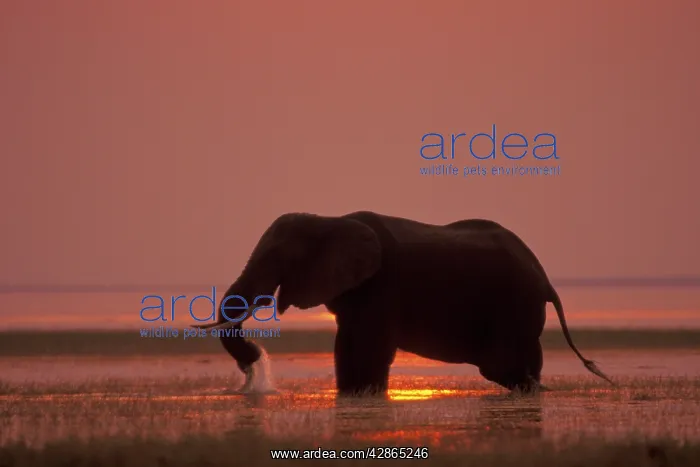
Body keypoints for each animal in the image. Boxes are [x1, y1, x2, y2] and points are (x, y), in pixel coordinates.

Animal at [192, 211, 614, 396]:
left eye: (278, 257)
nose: (252, 363)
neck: (329, 219)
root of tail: (547, 281)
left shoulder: (380, 284)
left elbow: (363, 349)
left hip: (515, 304)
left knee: (502, 367)